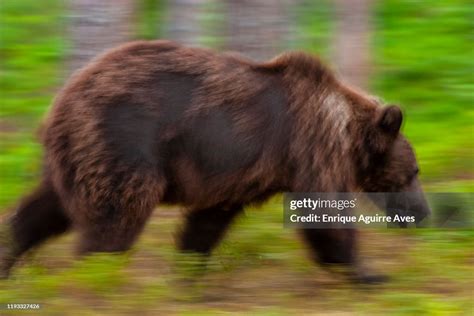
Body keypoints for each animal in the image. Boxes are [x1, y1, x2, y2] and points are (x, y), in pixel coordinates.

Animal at [0, 39, 430, 282]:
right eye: (414, 172)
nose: (422, 212)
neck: (348, 135)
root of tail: (61, 101)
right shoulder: (311, 147)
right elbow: (325, 215)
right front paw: (368, 273)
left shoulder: (240, 175)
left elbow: (207, 222)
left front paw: (189, 271)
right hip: (122, 140)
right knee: (115, 213)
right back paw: (98, 274)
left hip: (77, 155)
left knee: (43, 210)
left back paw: (9, 258)